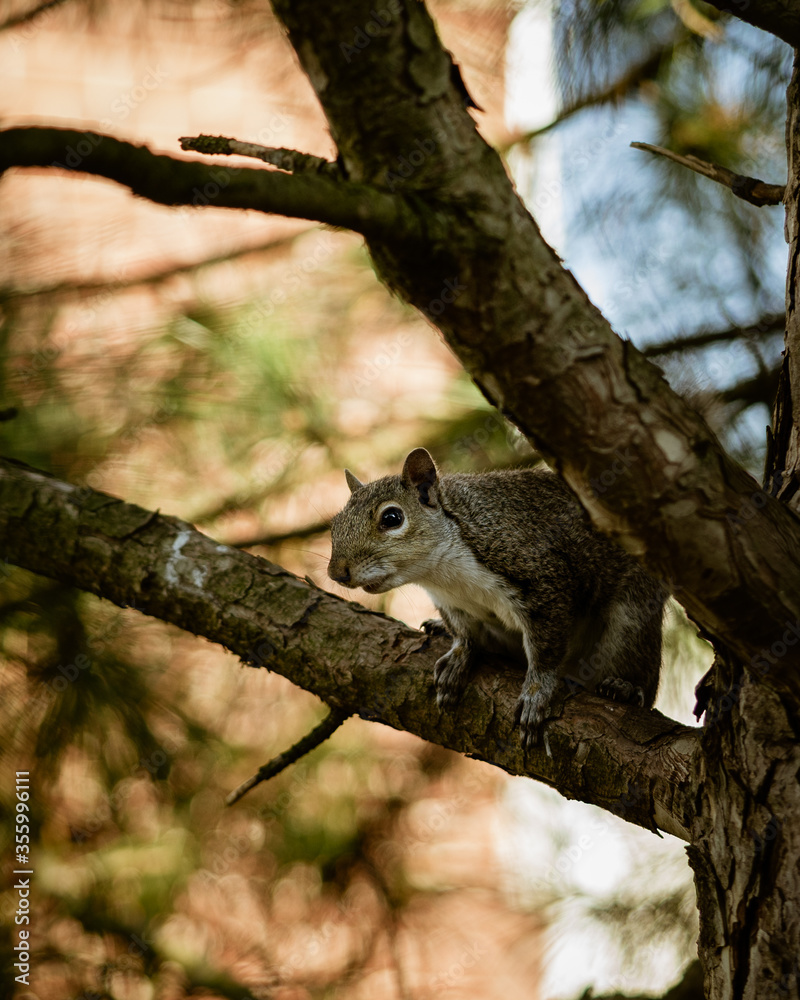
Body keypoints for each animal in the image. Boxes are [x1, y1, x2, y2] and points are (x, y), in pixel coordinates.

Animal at [326, 450, 668, 748]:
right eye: (334, 525)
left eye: (392, 518)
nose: (336, 572)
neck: (442, 574)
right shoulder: (453, 604)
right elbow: (464, 635)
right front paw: (459, 656)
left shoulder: (542, 581)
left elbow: (546, 650)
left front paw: (536, 693)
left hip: (632, 618)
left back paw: (624, 688)